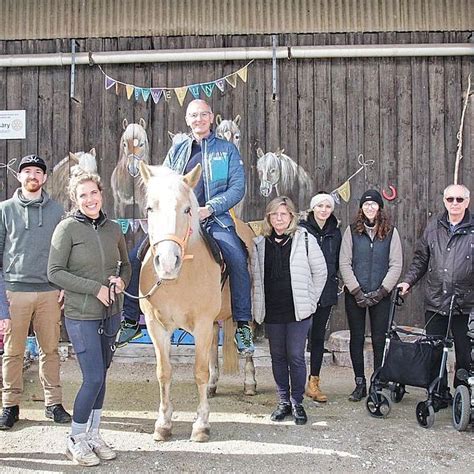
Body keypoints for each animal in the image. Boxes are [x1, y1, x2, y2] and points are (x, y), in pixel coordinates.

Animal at [137, 164, 256, 444]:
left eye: (187, 209)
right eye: (150, 208)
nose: (167, 263)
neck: (179, 280)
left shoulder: (201, 324)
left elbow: (199, 371)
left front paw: (201, 425)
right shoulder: (156, 326)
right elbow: (164, 372)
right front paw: (163, 424)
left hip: (250, 310)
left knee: (247, 347)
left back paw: (249, 384)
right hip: (212, 323)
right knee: (213, 346)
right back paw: (213, 385)